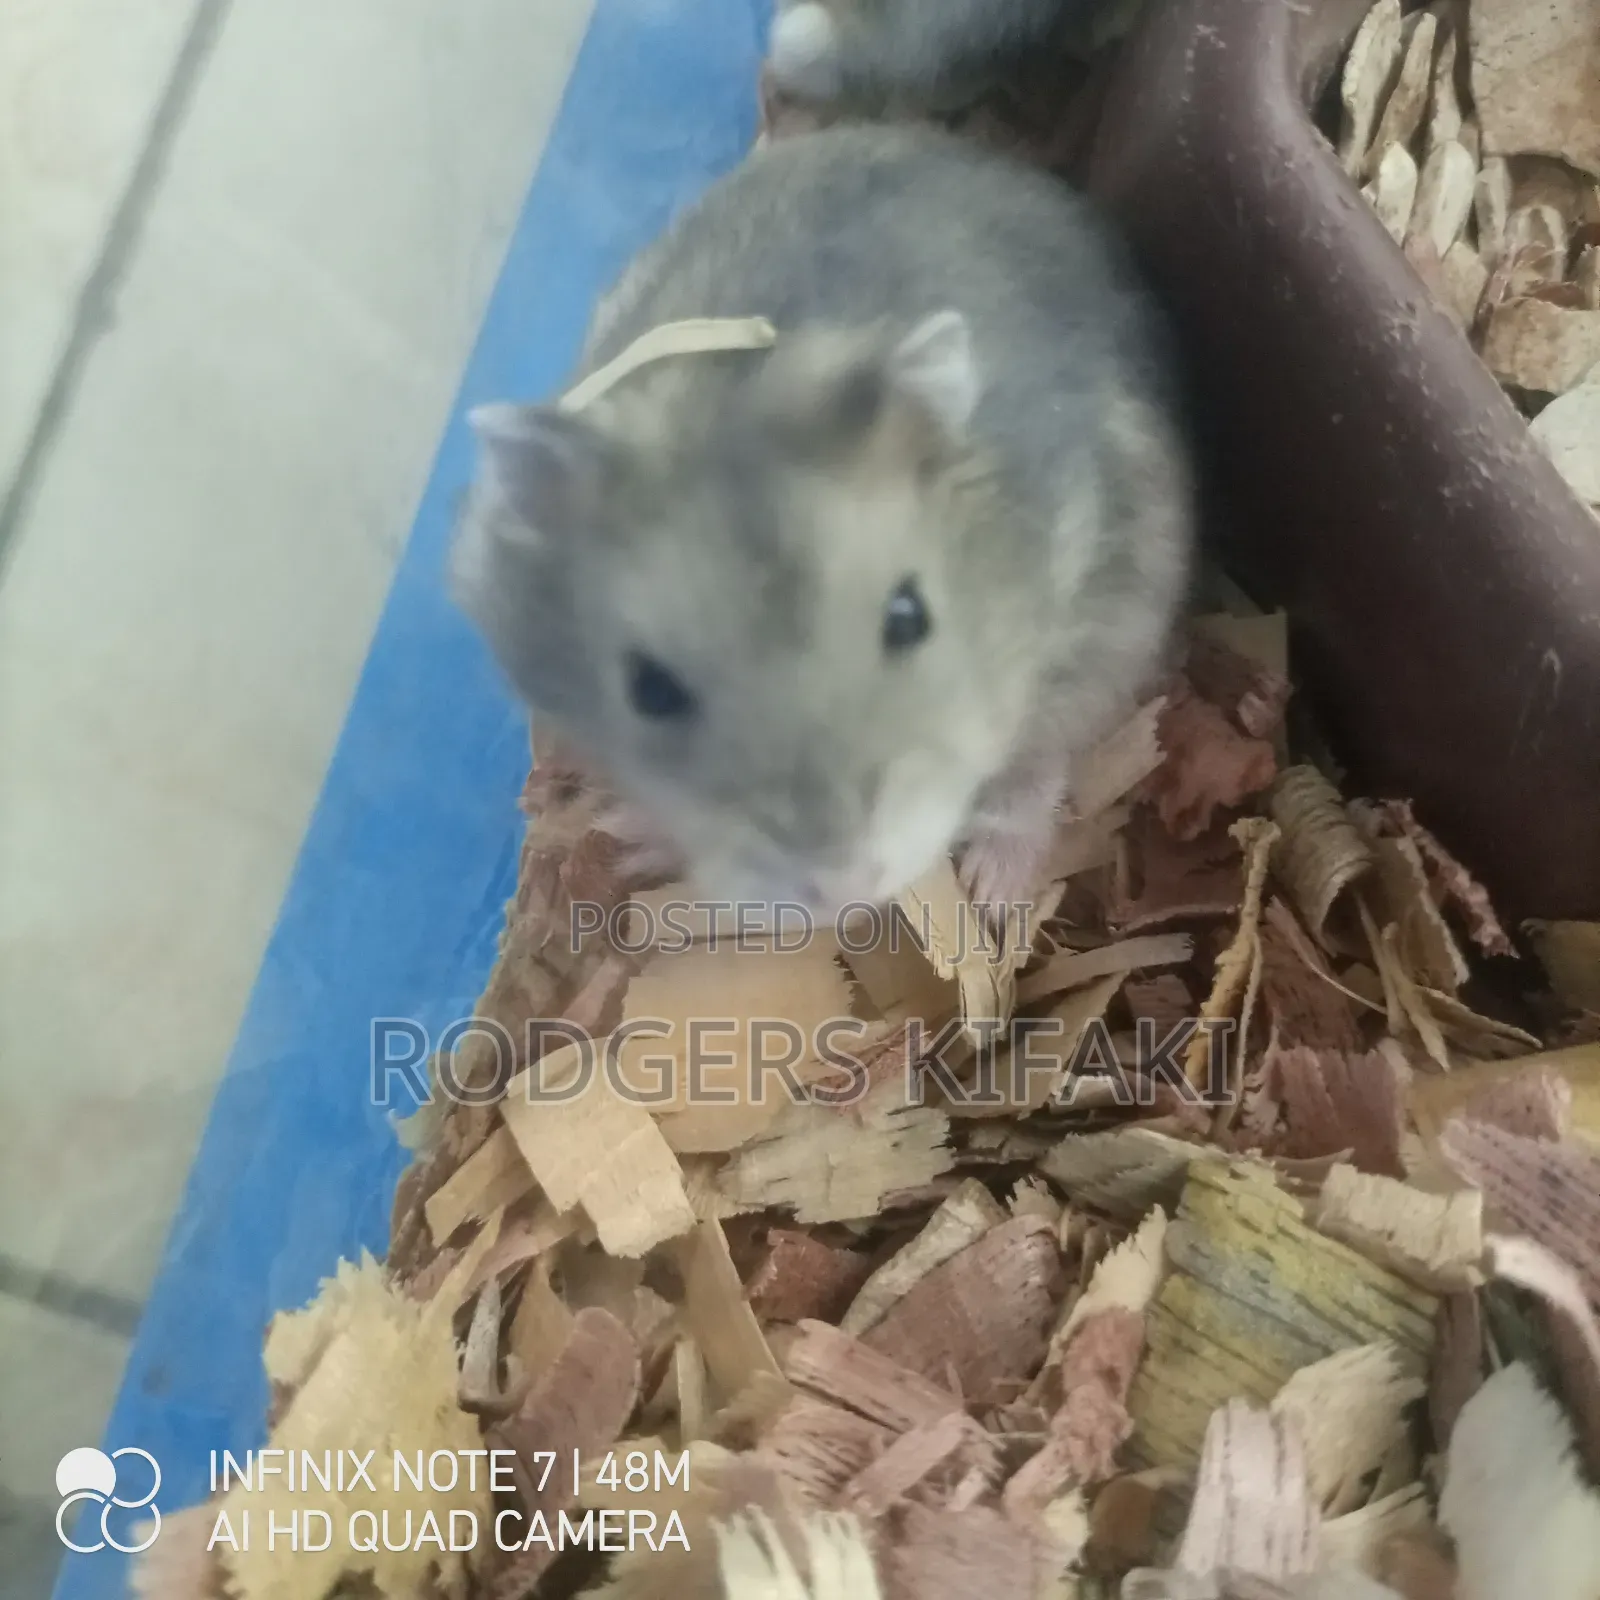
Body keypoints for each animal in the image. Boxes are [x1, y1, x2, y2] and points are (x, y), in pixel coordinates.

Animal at [450, 123, 1194, 920]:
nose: (845, 889)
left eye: (909, 616)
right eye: (649, 690)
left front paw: (995, 892)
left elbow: (1035, 767)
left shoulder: (1092, 621)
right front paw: (631, 840)